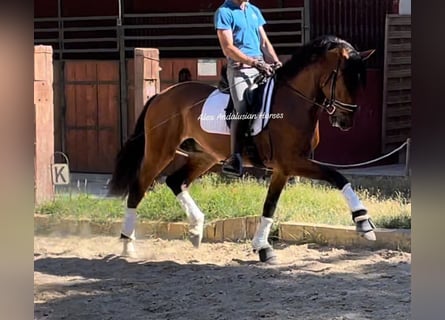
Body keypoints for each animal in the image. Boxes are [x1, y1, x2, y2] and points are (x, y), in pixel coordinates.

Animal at [109, 36, 376, 264]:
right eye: (345, 79)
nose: (345, 121)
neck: (294, 101)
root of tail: (161, 95)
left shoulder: (284, 168)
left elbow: (270, 206)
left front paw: (263, 248)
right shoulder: (292, 162)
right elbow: (337, 176)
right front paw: (363, 223)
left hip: (204, 156)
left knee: (175, 181)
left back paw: (196, 229)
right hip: (160, 153)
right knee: (139, 188)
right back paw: (127, 245)